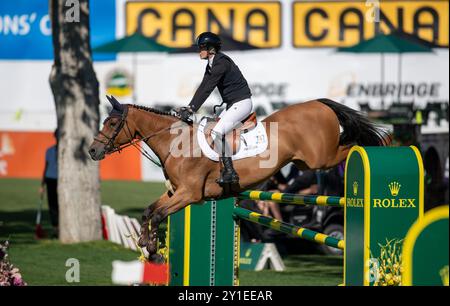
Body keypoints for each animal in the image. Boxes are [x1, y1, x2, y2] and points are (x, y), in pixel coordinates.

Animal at [89, 96, 388, 260]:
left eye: (112, 123)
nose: (93, 151)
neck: (178, 142)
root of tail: (318, 104)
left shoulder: (189, 194)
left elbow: (160, 214)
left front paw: (151, 248)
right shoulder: (176, 192)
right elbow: (150, 211)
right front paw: (146, 245)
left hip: (321, 158)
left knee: (351, 144)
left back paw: (378, 146)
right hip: (306, 160)